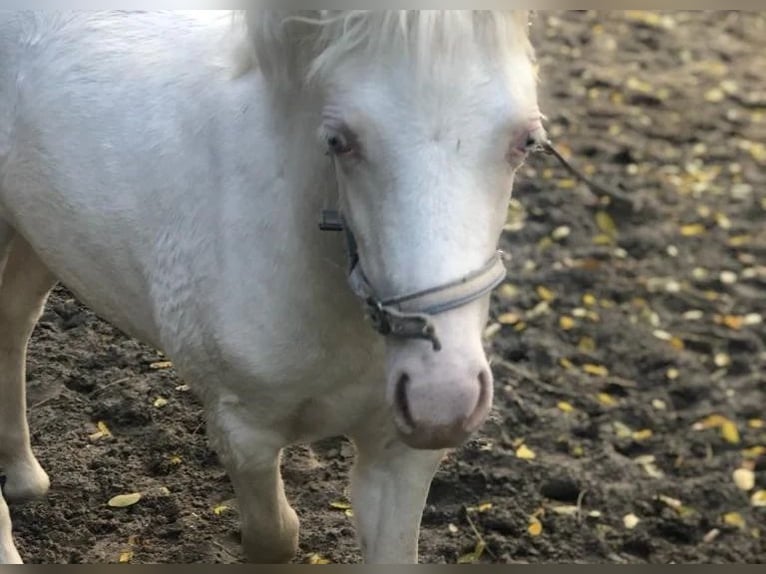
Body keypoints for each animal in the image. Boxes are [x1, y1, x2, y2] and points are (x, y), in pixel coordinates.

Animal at [0, 10, 540, 568]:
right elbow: (277, 536)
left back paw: (22, 472)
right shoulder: (243, 433)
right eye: (339, 141)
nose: (442, 400)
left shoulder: (396, 454)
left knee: (13, 319)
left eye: (527, 141)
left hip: (40, 235)